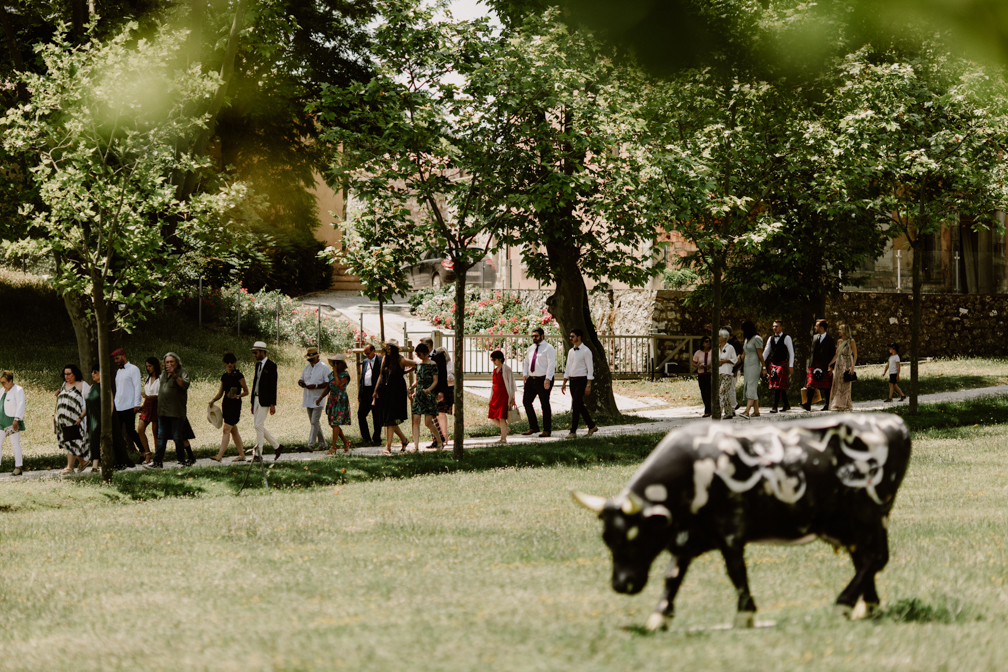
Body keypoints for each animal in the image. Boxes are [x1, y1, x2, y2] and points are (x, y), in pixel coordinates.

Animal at [576, 415, 915, 632]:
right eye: (607, 538)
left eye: (636, 535)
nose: (621, 584)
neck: (694, 470)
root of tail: (895, 423)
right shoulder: (689, 538)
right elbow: (673, 576)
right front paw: (660, 617)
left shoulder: (730, 532)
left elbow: (736, 572)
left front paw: (745, 615)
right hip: (848, 524)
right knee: (864, 558)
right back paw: (866, 606)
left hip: (872, 514)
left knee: (876, 556)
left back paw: (844, 603)